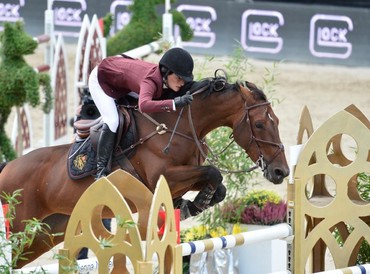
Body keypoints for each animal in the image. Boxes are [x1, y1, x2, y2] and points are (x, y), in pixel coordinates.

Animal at [0, 75, 290, 268]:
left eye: (276, 121)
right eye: (260, 124)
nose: (281, 172)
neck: (180, 125)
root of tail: (7, 169)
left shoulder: (183, 177)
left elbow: (217, 184)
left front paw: (193, 204)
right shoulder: (163, 177)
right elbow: (213, 172)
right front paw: (195, 203)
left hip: (46, 232)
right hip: (20, 225)